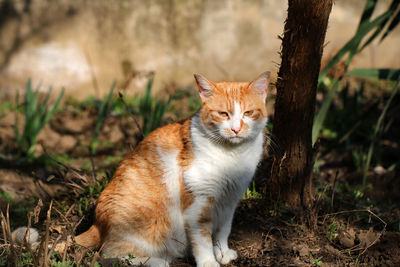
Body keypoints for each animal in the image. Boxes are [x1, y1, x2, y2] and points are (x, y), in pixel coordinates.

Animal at [73, 71, 270, 267]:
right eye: (223, 114)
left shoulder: (229, 200)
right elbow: (203, 239)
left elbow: (223, 231)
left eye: (248, 113)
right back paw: (157, 261)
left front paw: (222, 253)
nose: (236, 129)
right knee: (112, 253)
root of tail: (97, 224)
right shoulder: (198, 205)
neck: (233, 155)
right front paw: (208, 261)